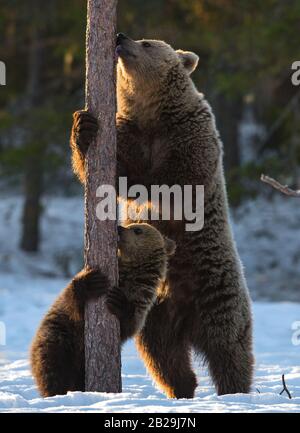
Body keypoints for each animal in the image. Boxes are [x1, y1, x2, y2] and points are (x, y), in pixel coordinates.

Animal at [70, 33, 253, 398]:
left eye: (147, 43)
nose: (120, 36)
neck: (153, 116)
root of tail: (187, 318)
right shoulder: (128, 134)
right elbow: (108, 173)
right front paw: (84, 126)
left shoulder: (192, 136)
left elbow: (179, 184)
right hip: (156, 315)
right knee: (164, 358)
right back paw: (183, 388)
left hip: (218, 294)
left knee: (230, 350)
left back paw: (235, 391)